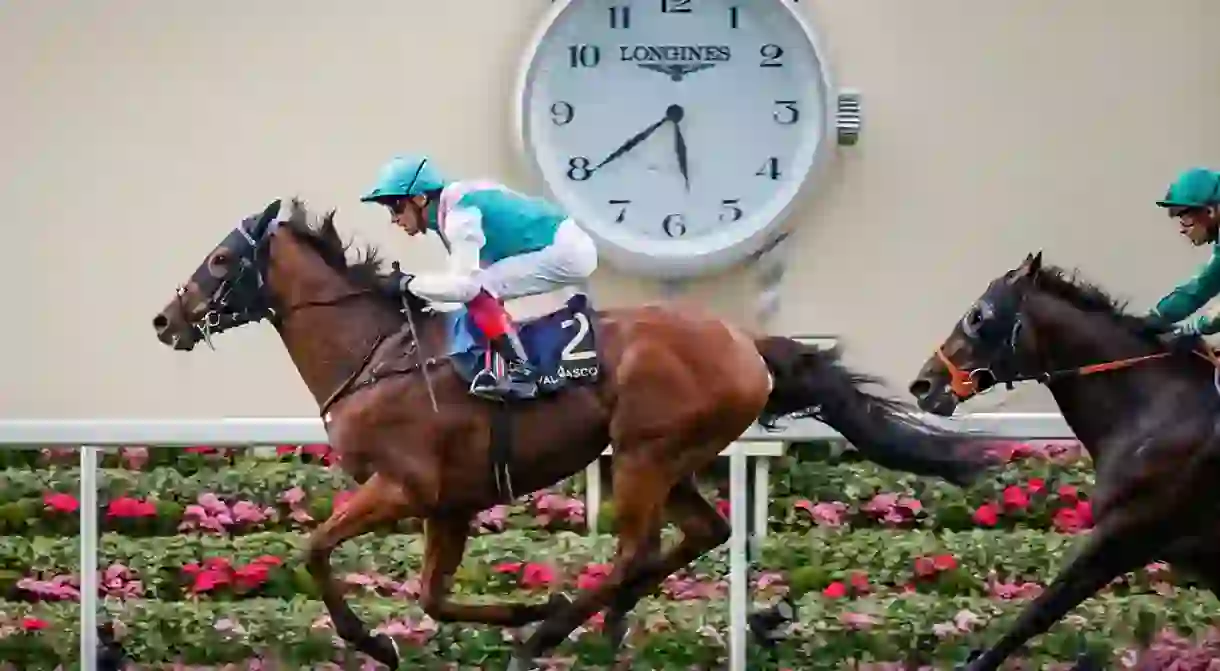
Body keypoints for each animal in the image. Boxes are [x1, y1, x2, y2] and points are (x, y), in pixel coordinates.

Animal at [150, 197, 990, 668]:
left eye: (221, 258)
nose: (165, 319)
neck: (377, 352)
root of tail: (745, 343)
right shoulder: (450, 502)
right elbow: (433, 597)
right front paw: (510, 612)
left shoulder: (404, 486)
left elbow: (316, 551)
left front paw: (376, 639)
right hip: (663, 455)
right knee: (700, 532)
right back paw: (592, 620)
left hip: (647, 451)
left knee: (636, 550)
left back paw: (556, 630)